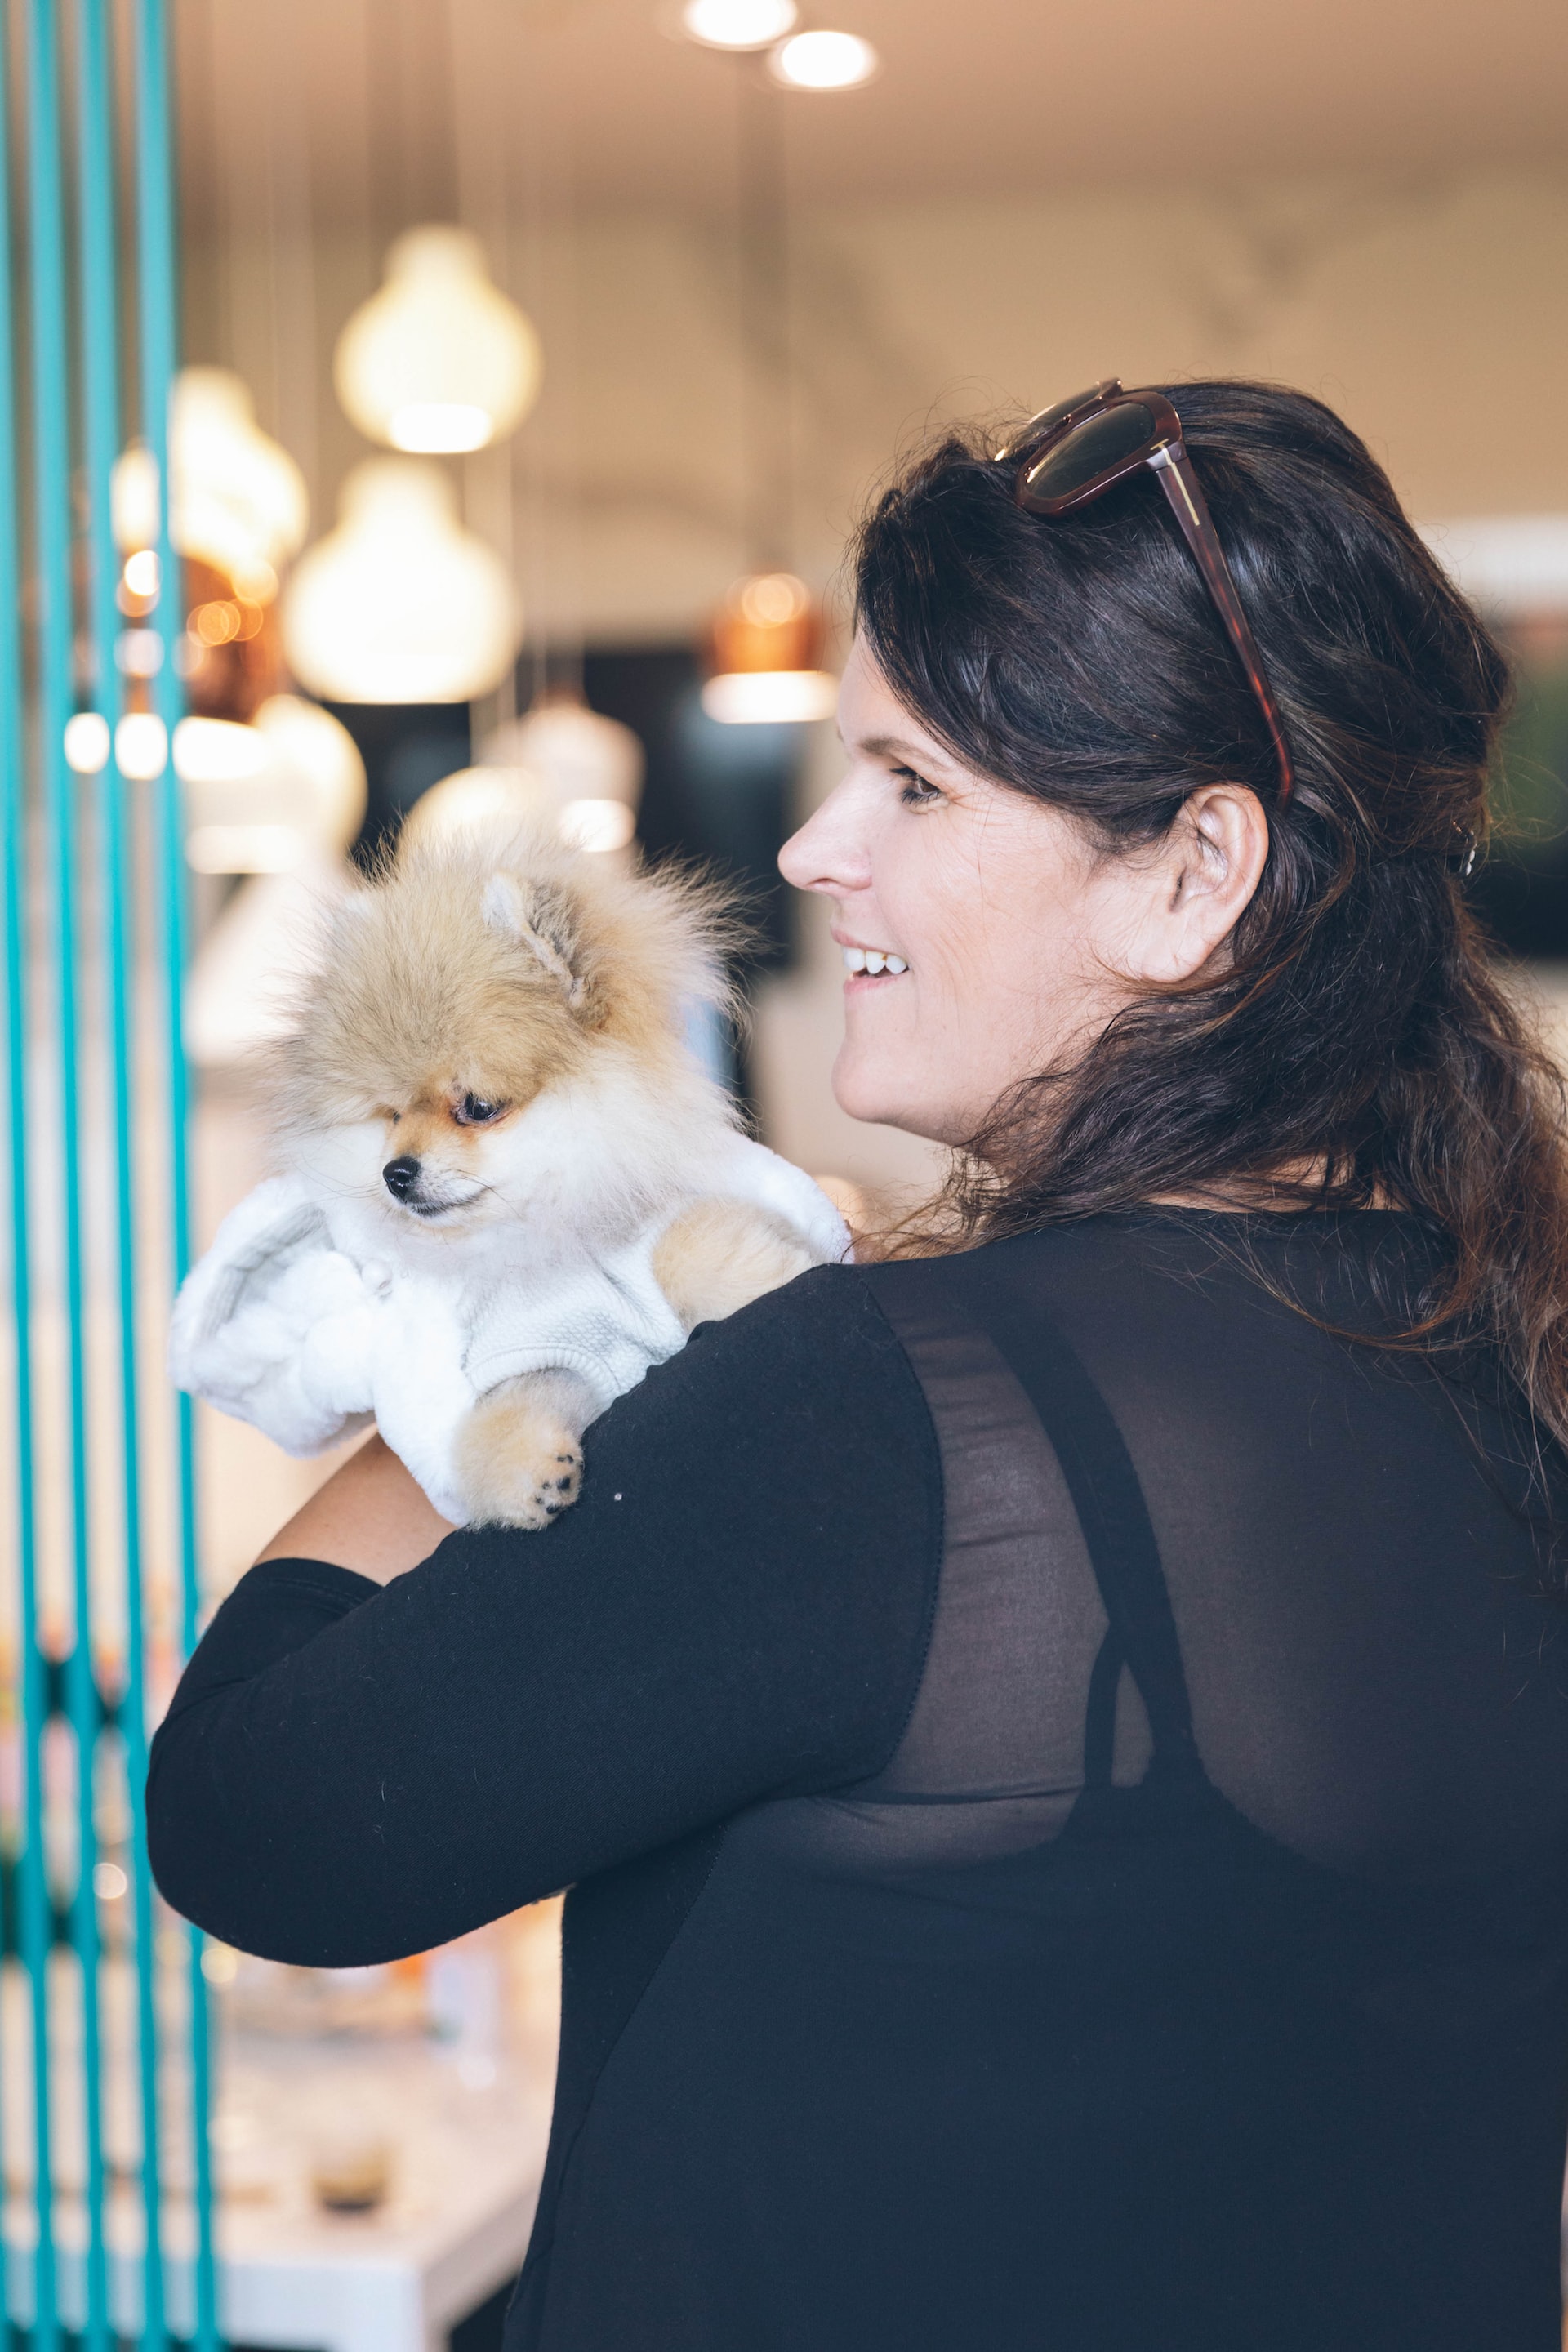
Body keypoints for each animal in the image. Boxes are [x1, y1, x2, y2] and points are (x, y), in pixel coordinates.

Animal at [172, 823, 851, 1524]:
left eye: (476, 1107)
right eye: (391, 1115)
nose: (396, 1172)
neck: (540, 1237)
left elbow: (684, 1243)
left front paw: (776, 1274)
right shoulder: (550, 1353)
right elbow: (501, 1415)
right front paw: (524, 1477)